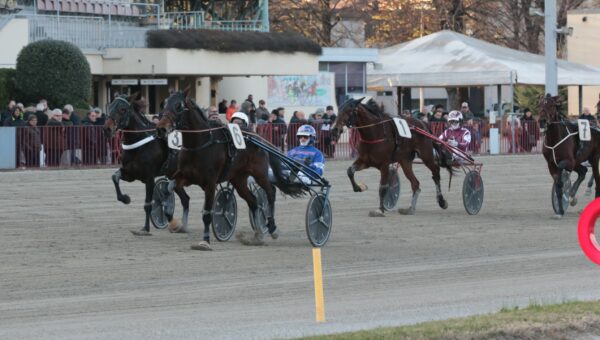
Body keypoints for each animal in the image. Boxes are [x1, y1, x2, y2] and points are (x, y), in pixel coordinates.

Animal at [102, 93, 189, 236]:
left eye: (122, 109)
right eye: (110, 107)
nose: (107, 129)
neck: (139, 142)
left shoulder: (149, 177)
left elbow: (148, 204)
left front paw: (145, 228)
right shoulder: (130, 173)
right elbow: (115, 177)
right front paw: (125, 198)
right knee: (185, 199)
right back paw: (179, 224)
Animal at [157, 89, 304, 251]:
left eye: (178, 106)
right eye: (164, 104)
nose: (161, 128)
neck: (200, 143)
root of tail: (258, 137)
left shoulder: (210, 183)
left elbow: (207, 213)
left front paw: (205, 241)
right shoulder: (185, 176)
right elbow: (169, 189)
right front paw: (173, 221)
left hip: (259, 172)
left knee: (270, 191)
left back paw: (272, 227)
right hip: (238, 179)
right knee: (253, 201)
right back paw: (258, 235)